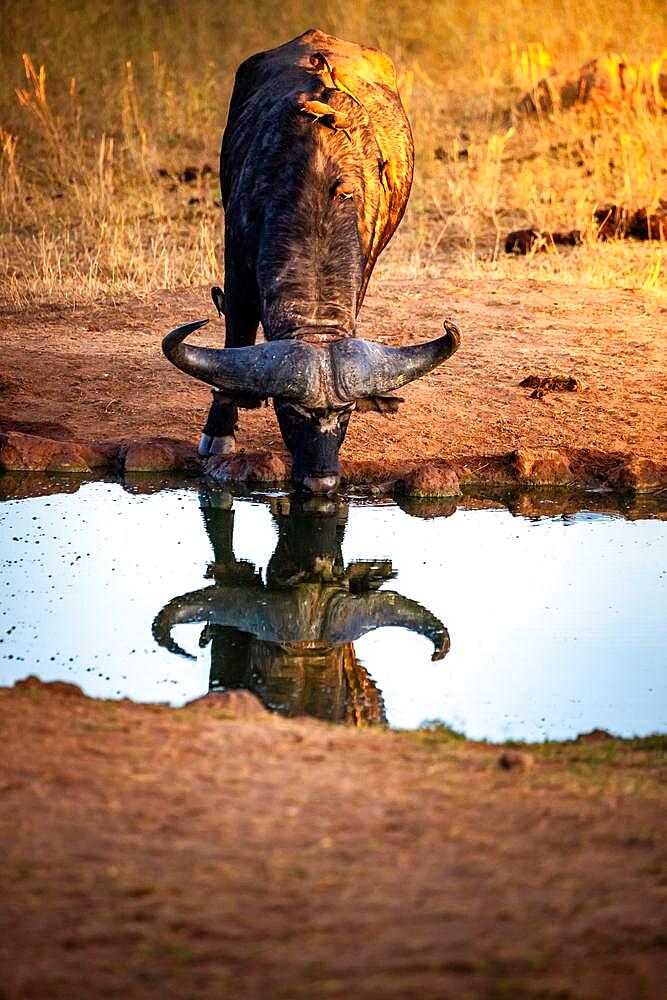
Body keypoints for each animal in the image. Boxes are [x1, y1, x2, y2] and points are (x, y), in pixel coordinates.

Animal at [164, 26, 462, 488]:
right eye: (290, 411)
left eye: (347, 412)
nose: (320, 480)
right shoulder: (237, 267)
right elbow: (235, 337)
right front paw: (220, 432)